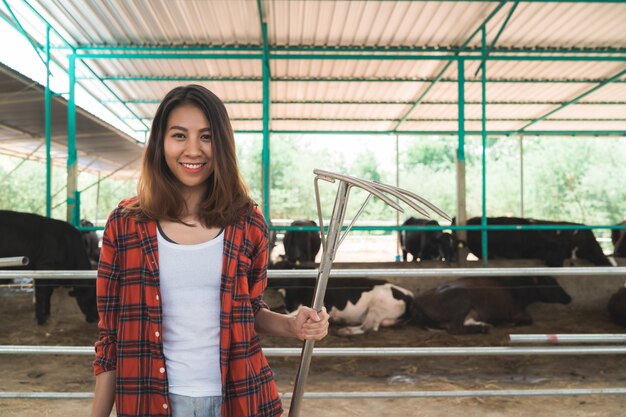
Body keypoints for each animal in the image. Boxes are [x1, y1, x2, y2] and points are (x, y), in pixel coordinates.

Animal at [410, 276, 572, 334]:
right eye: (551, 283)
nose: (568, 297)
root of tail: (419, 301)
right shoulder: (515, 311)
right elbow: (528, 319)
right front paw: (512, 324)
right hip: (463, 301)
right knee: (455, 329)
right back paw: (483, 327)